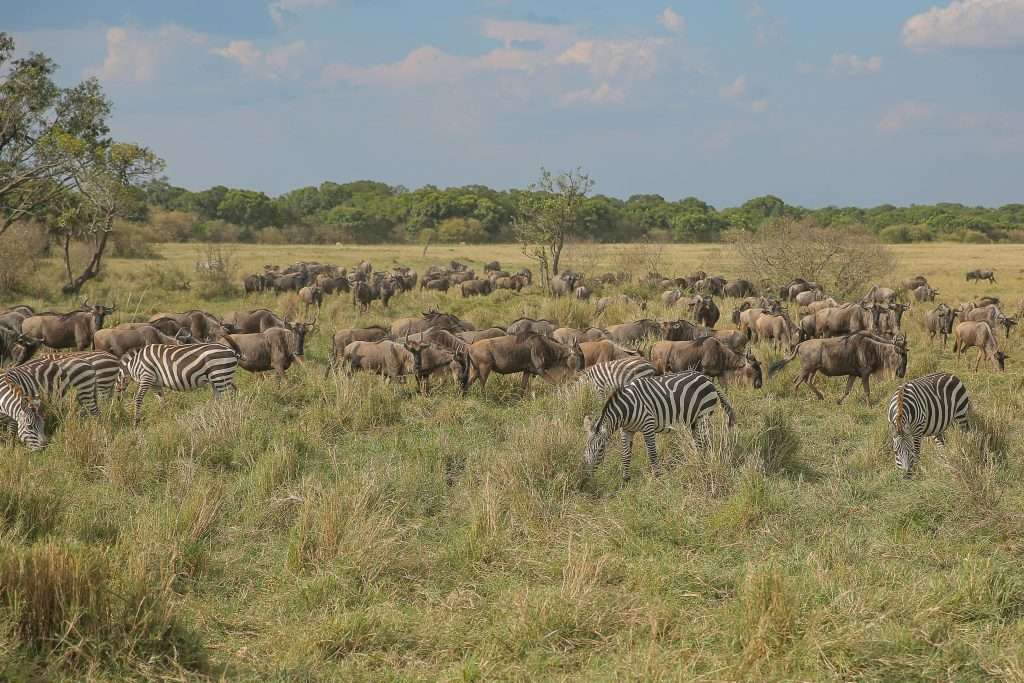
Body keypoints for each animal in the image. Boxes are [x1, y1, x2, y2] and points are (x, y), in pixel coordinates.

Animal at [582, 371, 736, 483]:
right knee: (699, 443)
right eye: (586, 449)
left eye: (600, 449)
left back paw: (705, 463)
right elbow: (625, 454)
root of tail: (707, 379)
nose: (587, 477)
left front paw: (657, 477)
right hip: (694, 420)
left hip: (703, 415)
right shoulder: (626, 430)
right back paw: (699, 462)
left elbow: (652, 453)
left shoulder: (648, 425)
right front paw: (625, 479)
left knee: (705, 442)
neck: (626, 410)